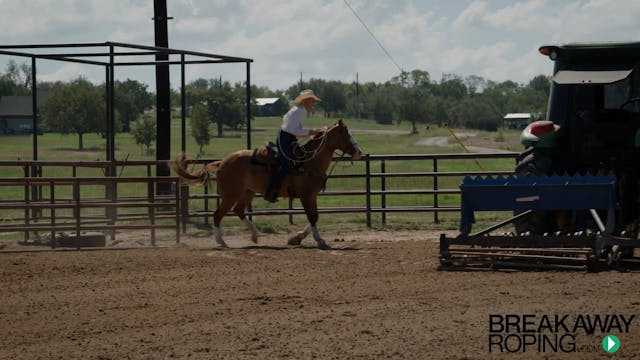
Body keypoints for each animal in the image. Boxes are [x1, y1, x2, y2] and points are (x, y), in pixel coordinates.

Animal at [170, 119, 360, 249]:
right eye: (345, 134)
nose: (359, 152)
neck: (308, 162)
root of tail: (222, 162)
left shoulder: (311, 196)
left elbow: (314, 217)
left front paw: (296, 238)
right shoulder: (306, 196)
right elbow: (312, 217)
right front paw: (319, 240)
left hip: (247, 192)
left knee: (239, 211)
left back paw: (255, 236)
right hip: (231, 194)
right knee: (218, 215)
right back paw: (222, 241)